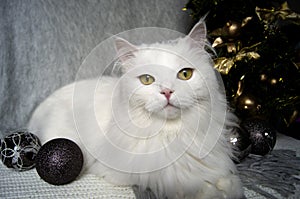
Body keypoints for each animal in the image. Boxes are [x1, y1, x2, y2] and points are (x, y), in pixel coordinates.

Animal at [27, 20, 244, 199]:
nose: (167, 91)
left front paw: (226, 189)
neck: (172, 136)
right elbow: (184, 186)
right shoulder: (126, 173)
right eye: (147, 79)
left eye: (185, 74)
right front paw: (208, 191)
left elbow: (228, 182)